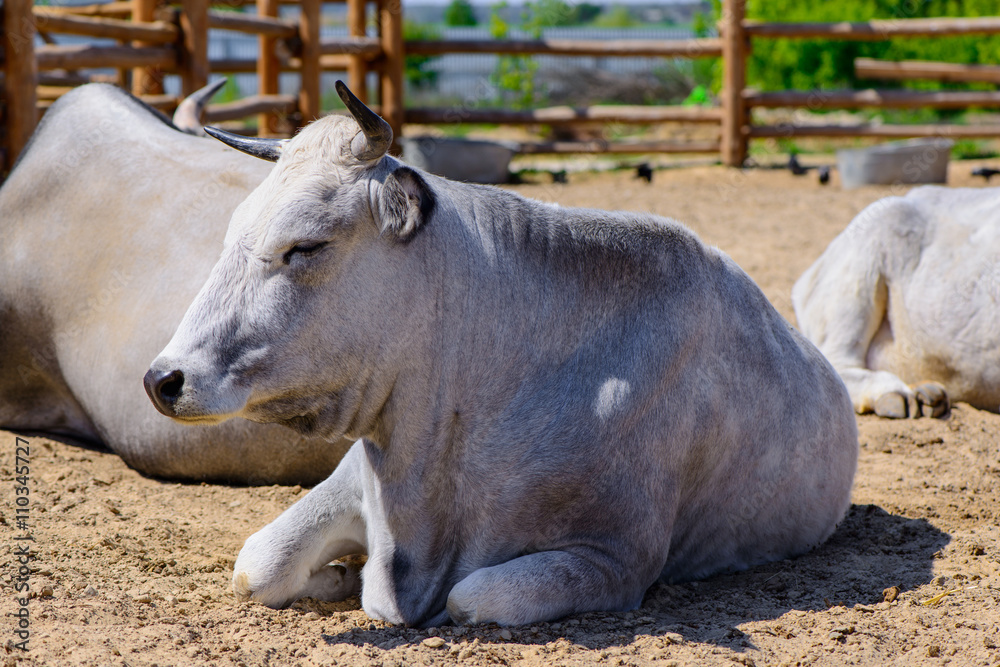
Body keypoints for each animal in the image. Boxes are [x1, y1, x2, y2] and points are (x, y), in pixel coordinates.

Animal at [145, 81, 859, 627]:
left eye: (307, 246)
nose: (162, 378)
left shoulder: (615, 556)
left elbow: (472, 596)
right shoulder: (354, 477)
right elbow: (258, 564)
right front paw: (339, 576)